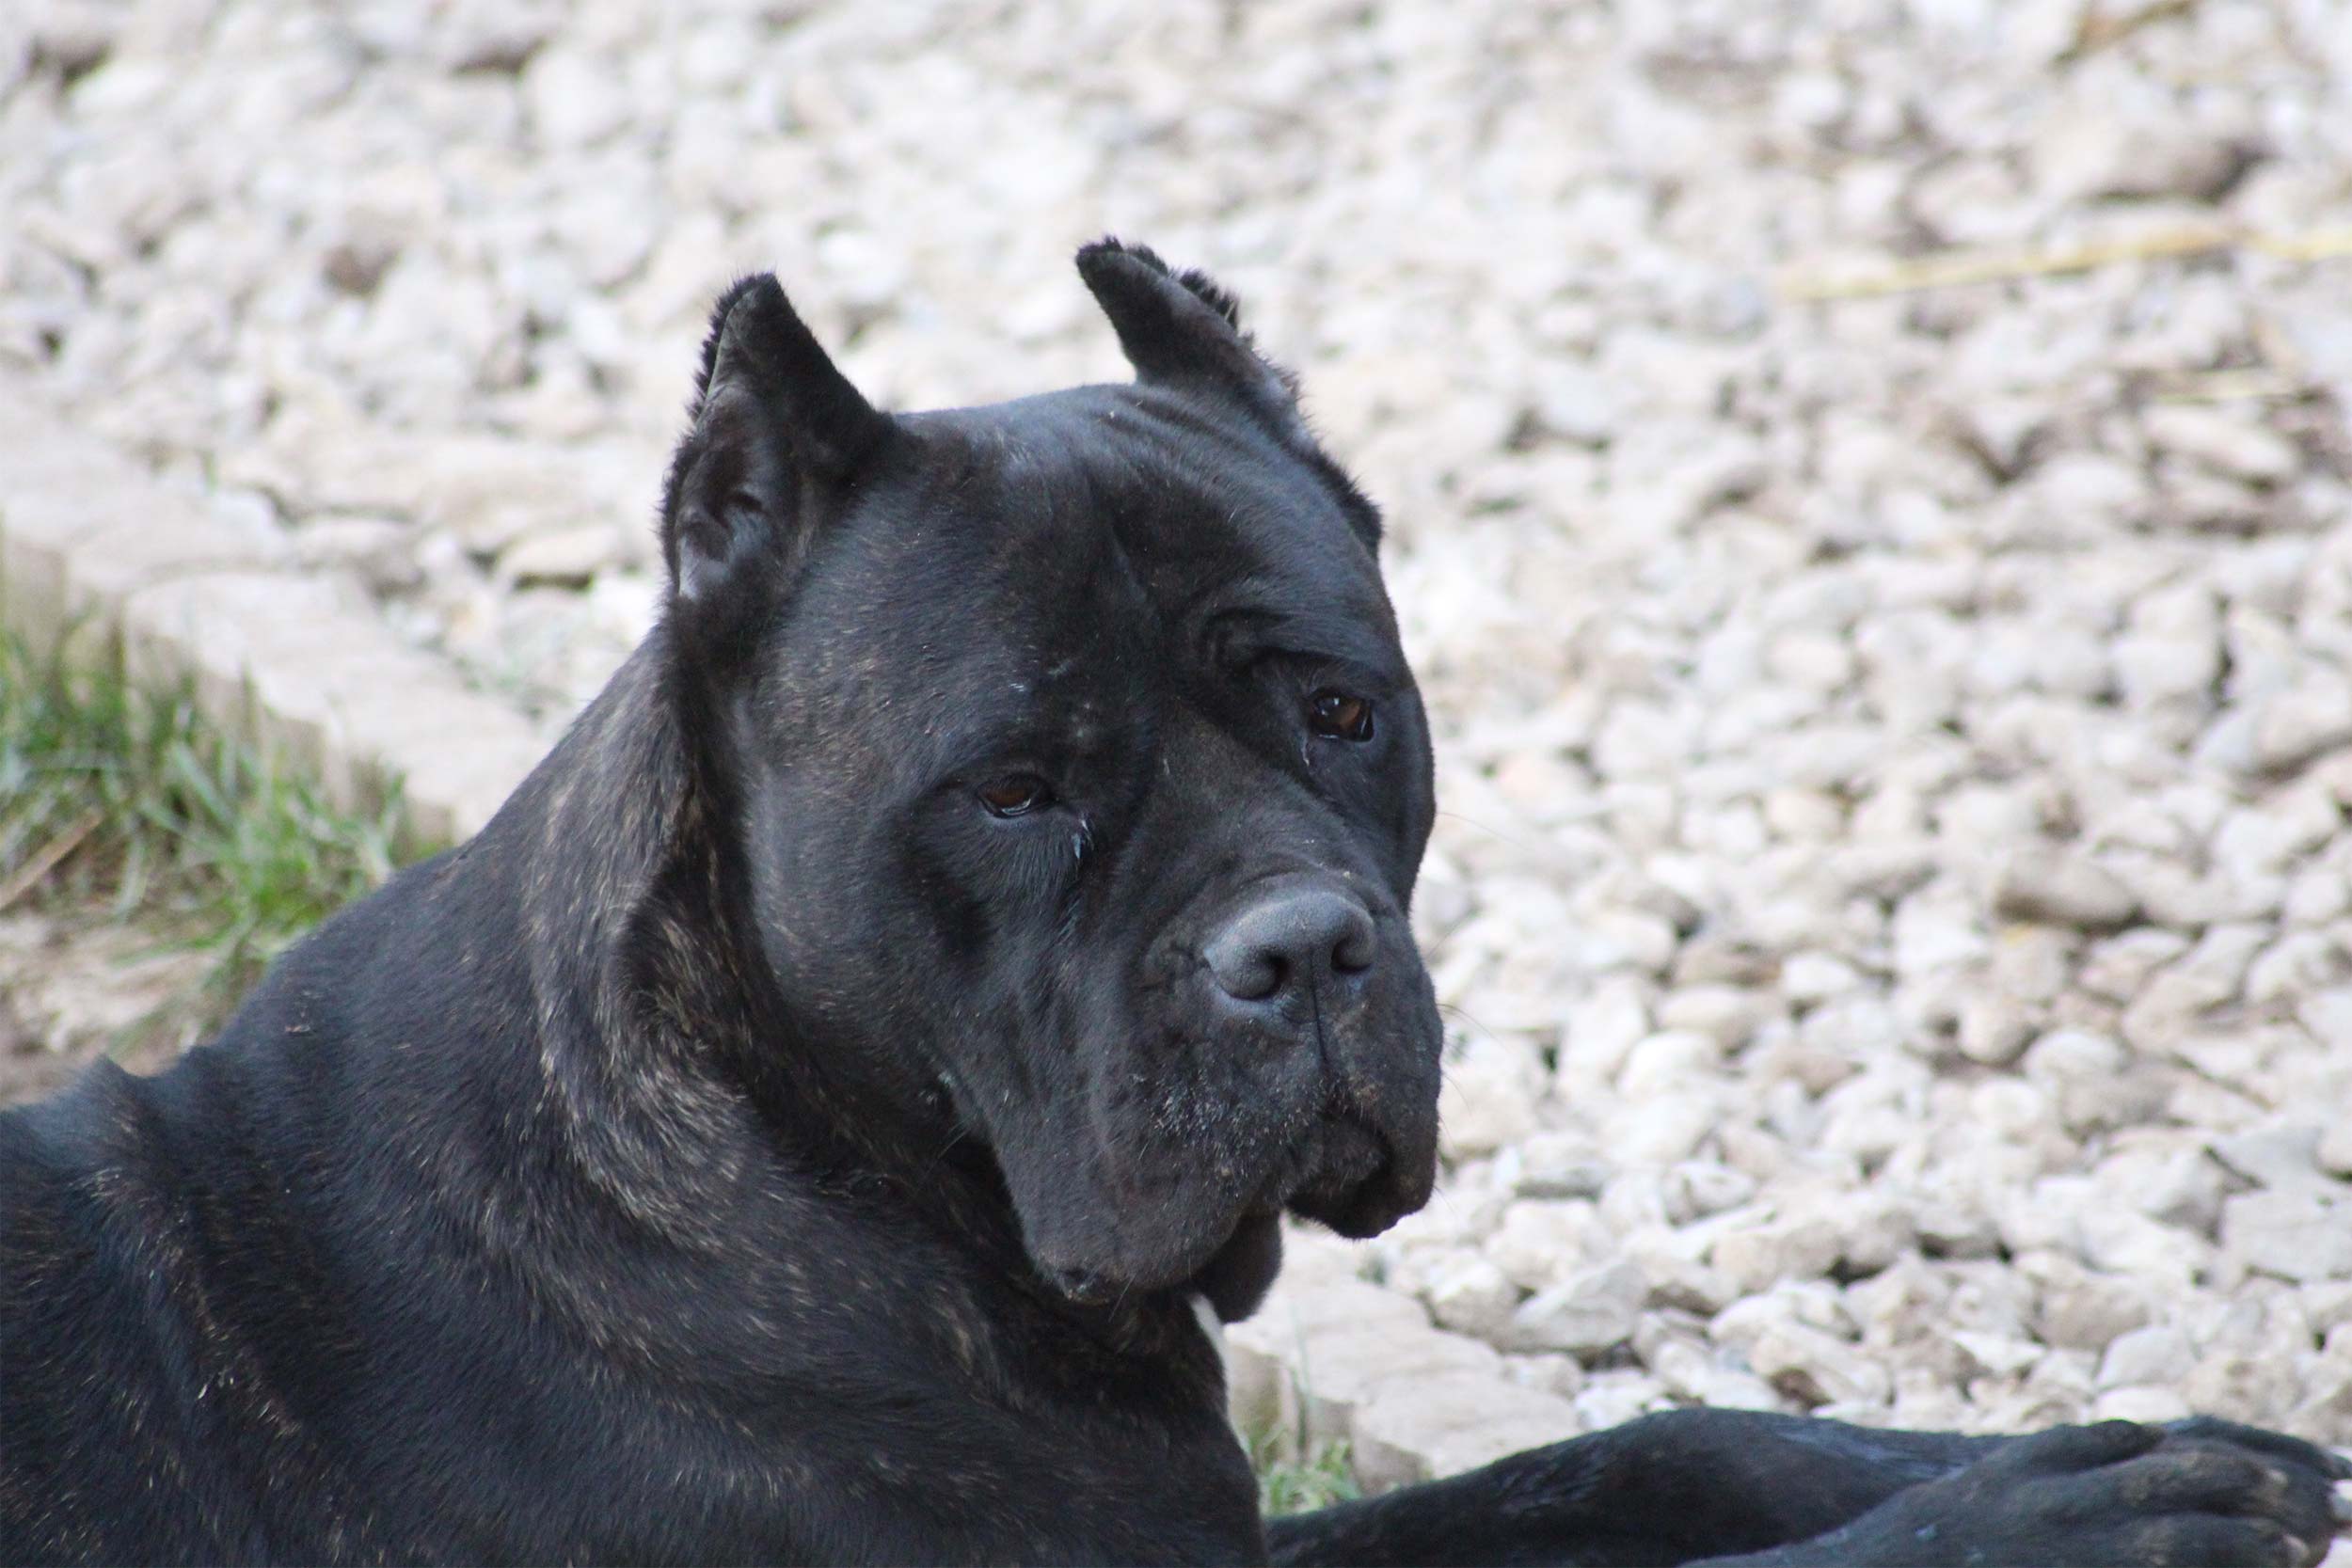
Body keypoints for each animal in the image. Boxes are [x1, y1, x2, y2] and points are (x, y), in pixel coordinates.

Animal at [0, 239, 2343, 1560]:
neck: (800, 1138)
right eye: (1015, 786)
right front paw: (2068, 1512)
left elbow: (1639, 1457)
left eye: (1339, 705)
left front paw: (2087, 1434)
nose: (1299, 953)